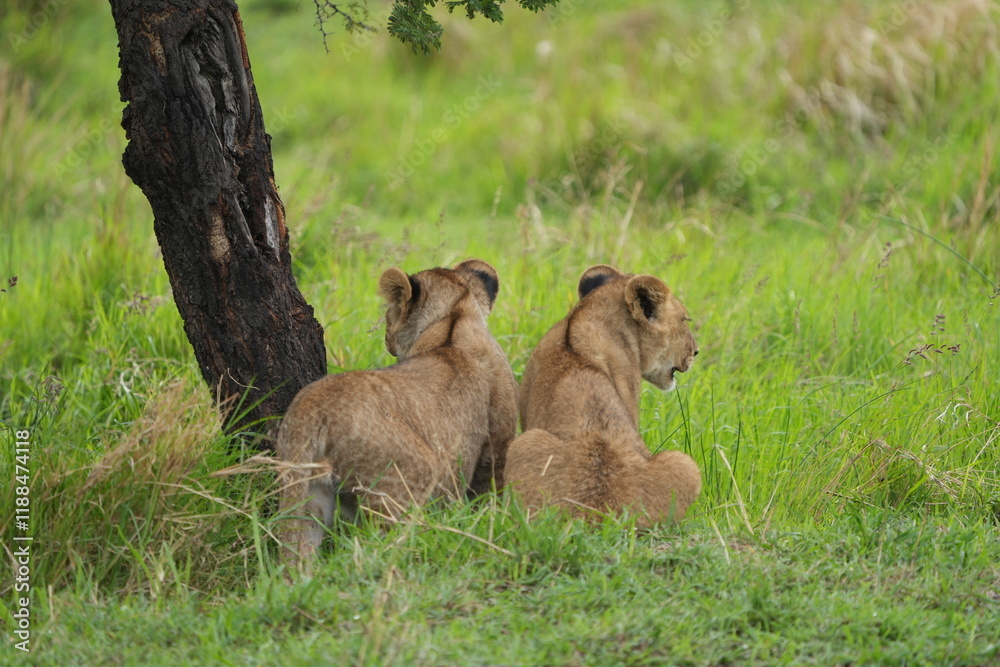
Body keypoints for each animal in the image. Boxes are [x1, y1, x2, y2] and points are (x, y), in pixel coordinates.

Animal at [275, 259, 518, 572]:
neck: (454, 319)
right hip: (410, 479)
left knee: (297, 557)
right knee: (381, 547)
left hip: (308, 494)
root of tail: (313, 408)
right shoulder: (496, 445)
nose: (386, 338)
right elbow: (489, 492)